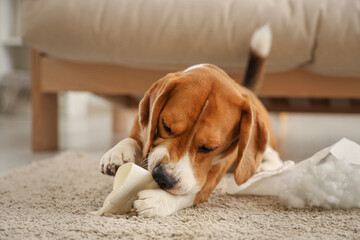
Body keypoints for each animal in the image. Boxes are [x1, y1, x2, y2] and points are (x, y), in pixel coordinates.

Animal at [100, 25, 282, 217]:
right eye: (166, 126)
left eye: (209, 148)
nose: (163, 178)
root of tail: (247, 90)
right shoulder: (143, 129)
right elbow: (133, 139)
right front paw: (118, 153)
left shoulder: (209, 178)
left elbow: (190, 193)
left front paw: (156, 200)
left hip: (264, 142)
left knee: (271, 155)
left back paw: (266, 168)